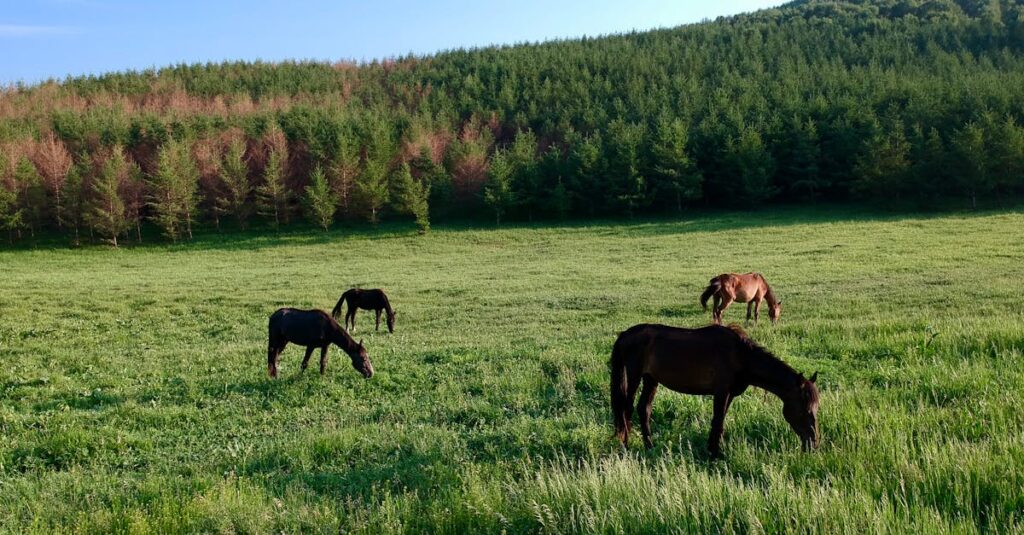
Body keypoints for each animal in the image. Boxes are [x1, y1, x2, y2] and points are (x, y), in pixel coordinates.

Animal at [610, 323, 819, 457]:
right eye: (804, 410)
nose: (814, 443)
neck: (741, 356)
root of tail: (625, 334)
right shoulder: (721, 392)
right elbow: (718, 421)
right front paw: (716, 454)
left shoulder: (729, 395)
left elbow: (719, 421)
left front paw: (712, 449)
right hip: (635, 375)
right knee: (626, 409)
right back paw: (626, 446)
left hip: (651, 379)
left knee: (643, 409)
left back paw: (649, 446)